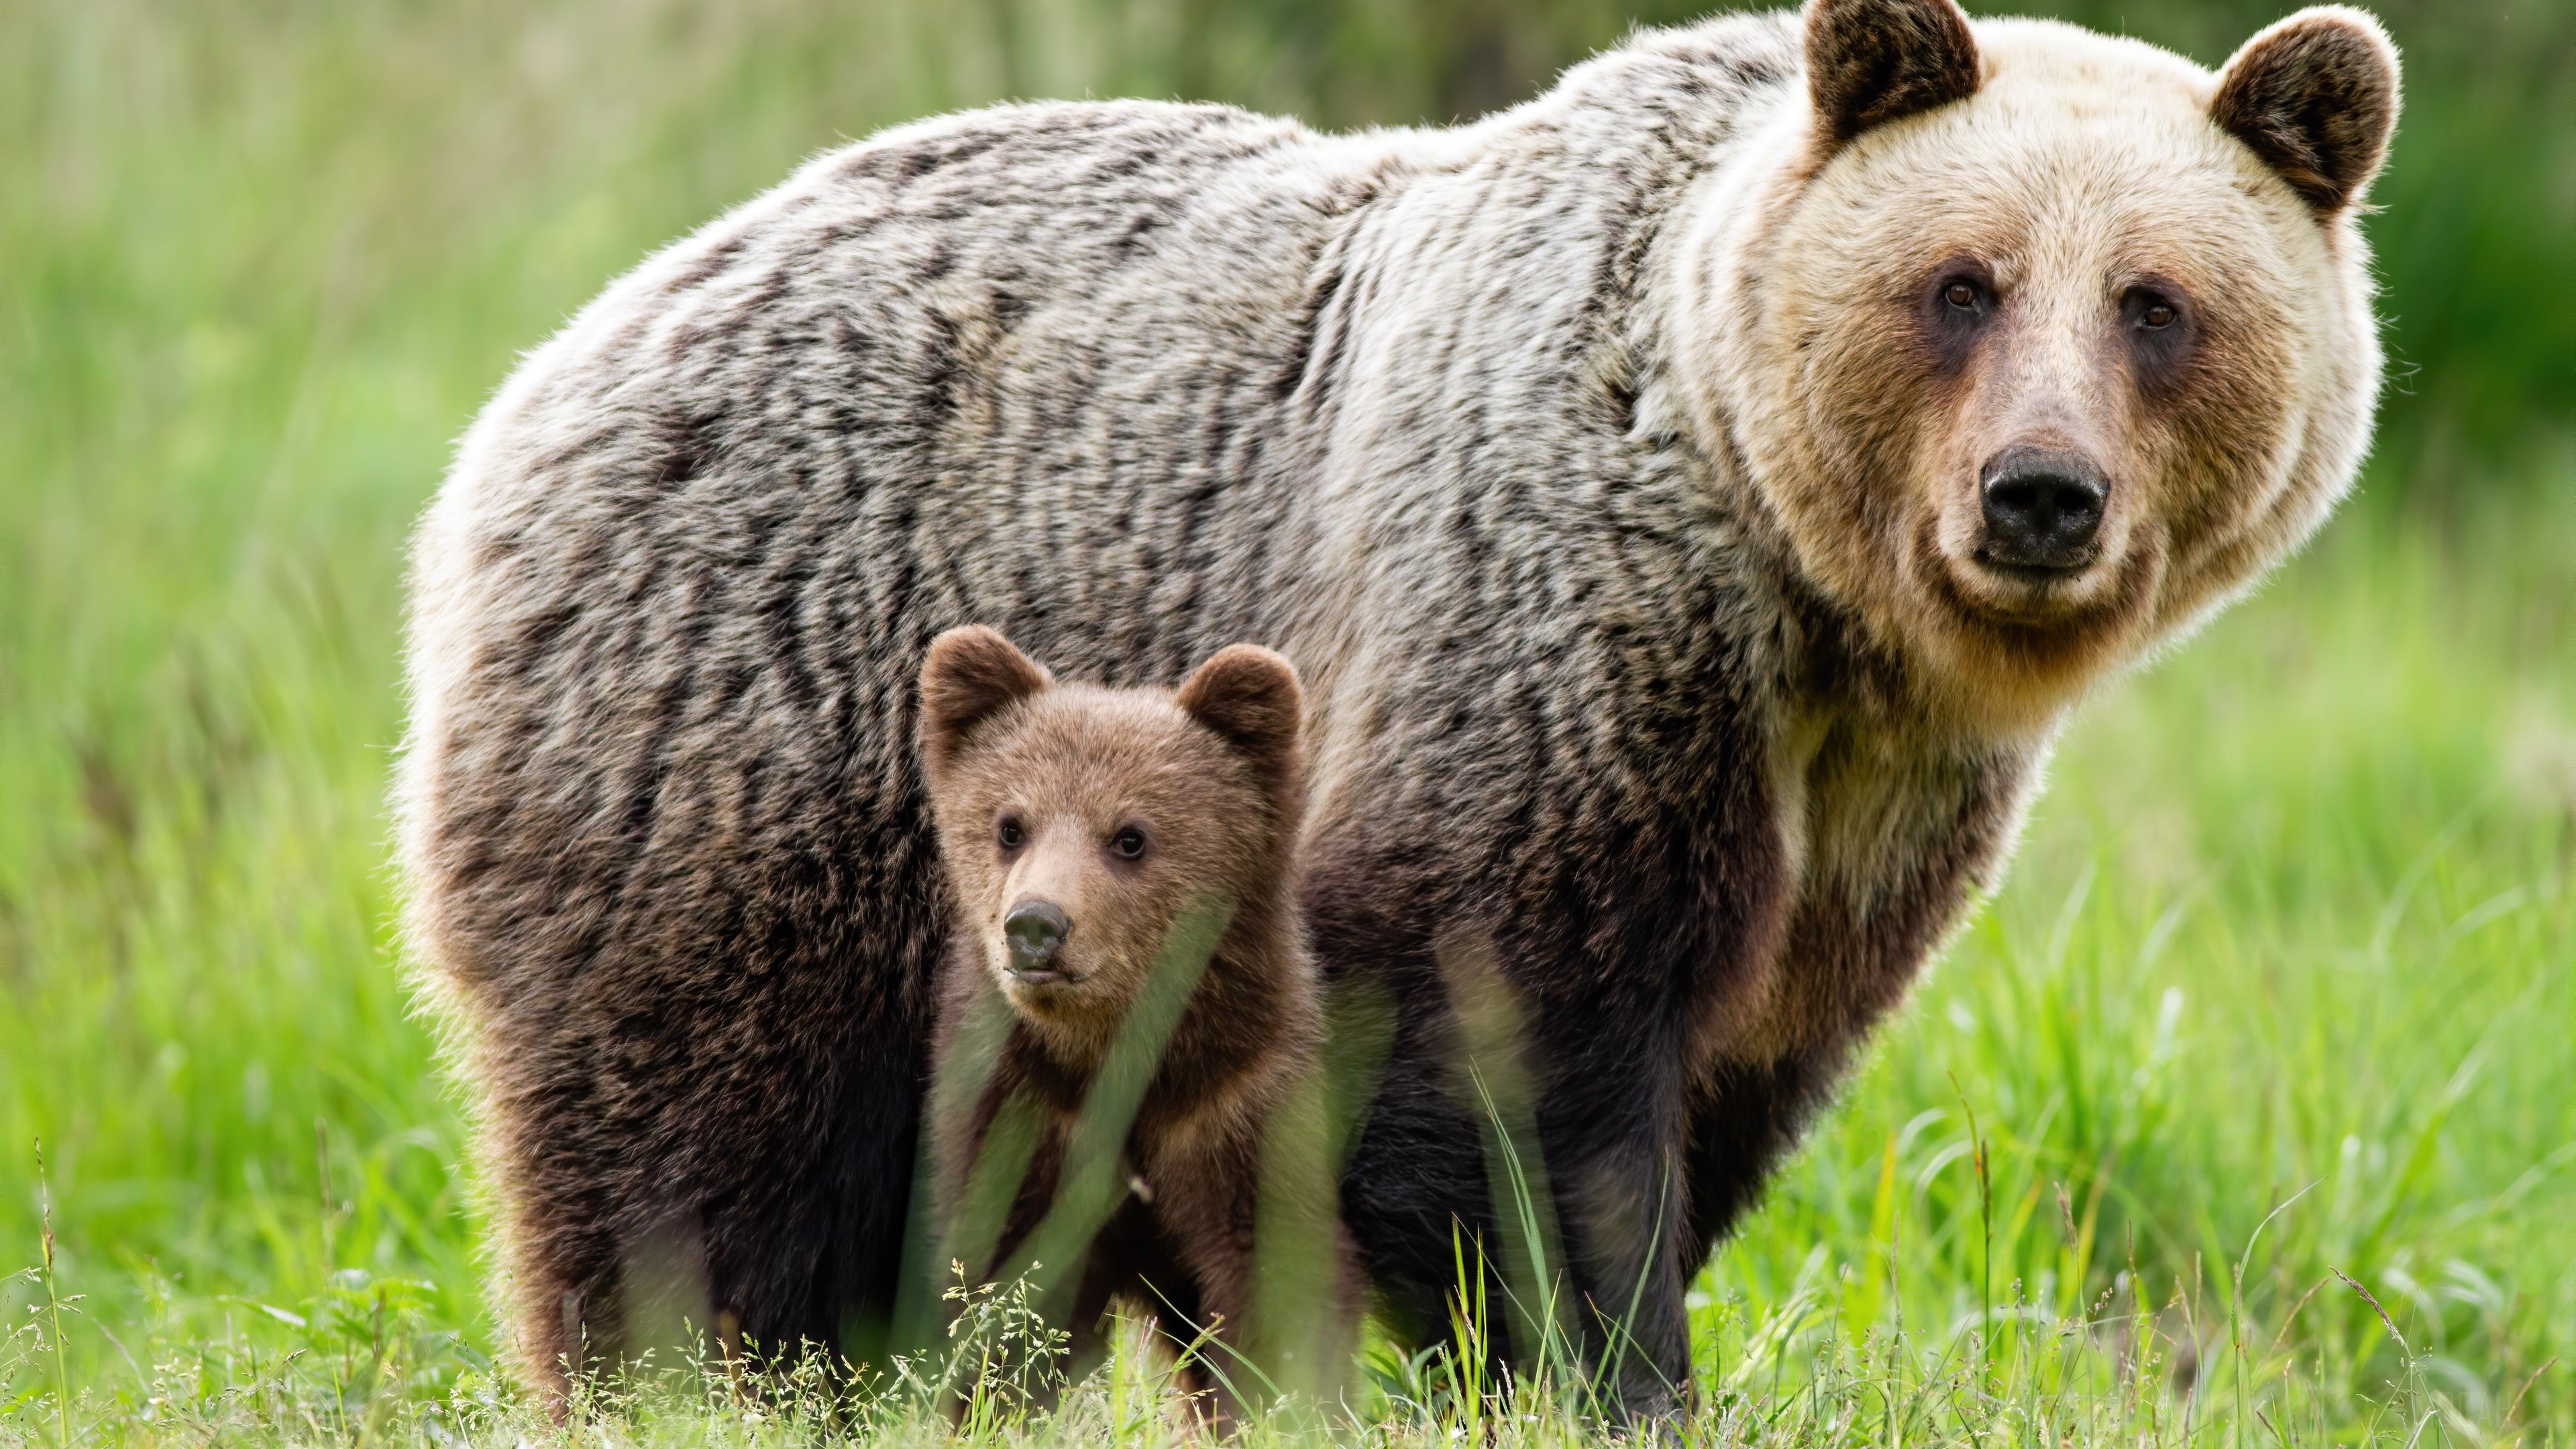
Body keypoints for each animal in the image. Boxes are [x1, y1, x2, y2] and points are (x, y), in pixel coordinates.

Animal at [912, 625, 1359, 1424]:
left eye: (1129, 837)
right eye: (1010, 826)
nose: (1035, 925)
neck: (1124, 1063)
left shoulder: (1235, 1107)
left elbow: (1273, 1278)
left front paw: (1280, 1405)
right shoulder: (1027, 1115)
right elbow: (1008, 1289)